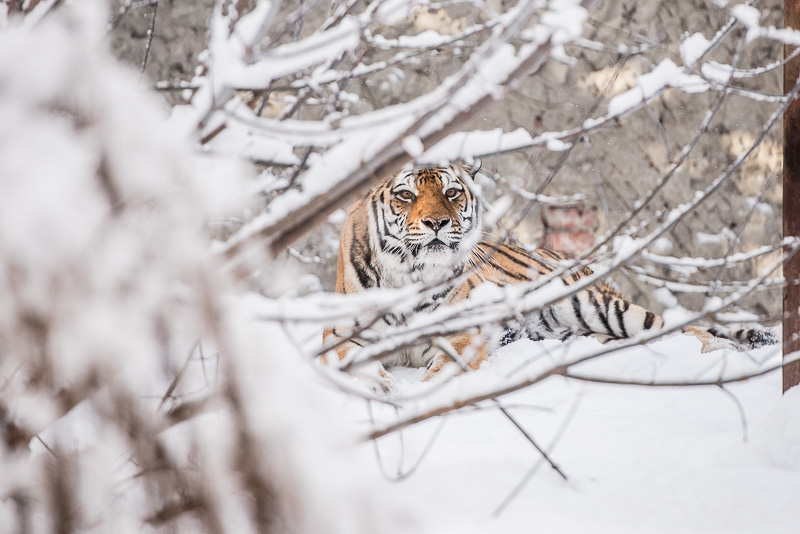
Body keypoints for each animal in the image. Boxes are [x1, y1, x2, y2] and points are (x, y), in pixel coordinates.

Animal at [322, 165, 777, 394]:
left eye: (452, 193)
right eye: (406, 195)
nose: (437, 222)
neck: (410, 274)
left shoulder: (464, 335)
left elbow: (444, 370)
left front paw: (418, 394)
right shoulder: (340, 335)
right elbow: (350, 360)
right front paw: (380, 386)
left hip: (600, 305)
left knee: (679, 329)